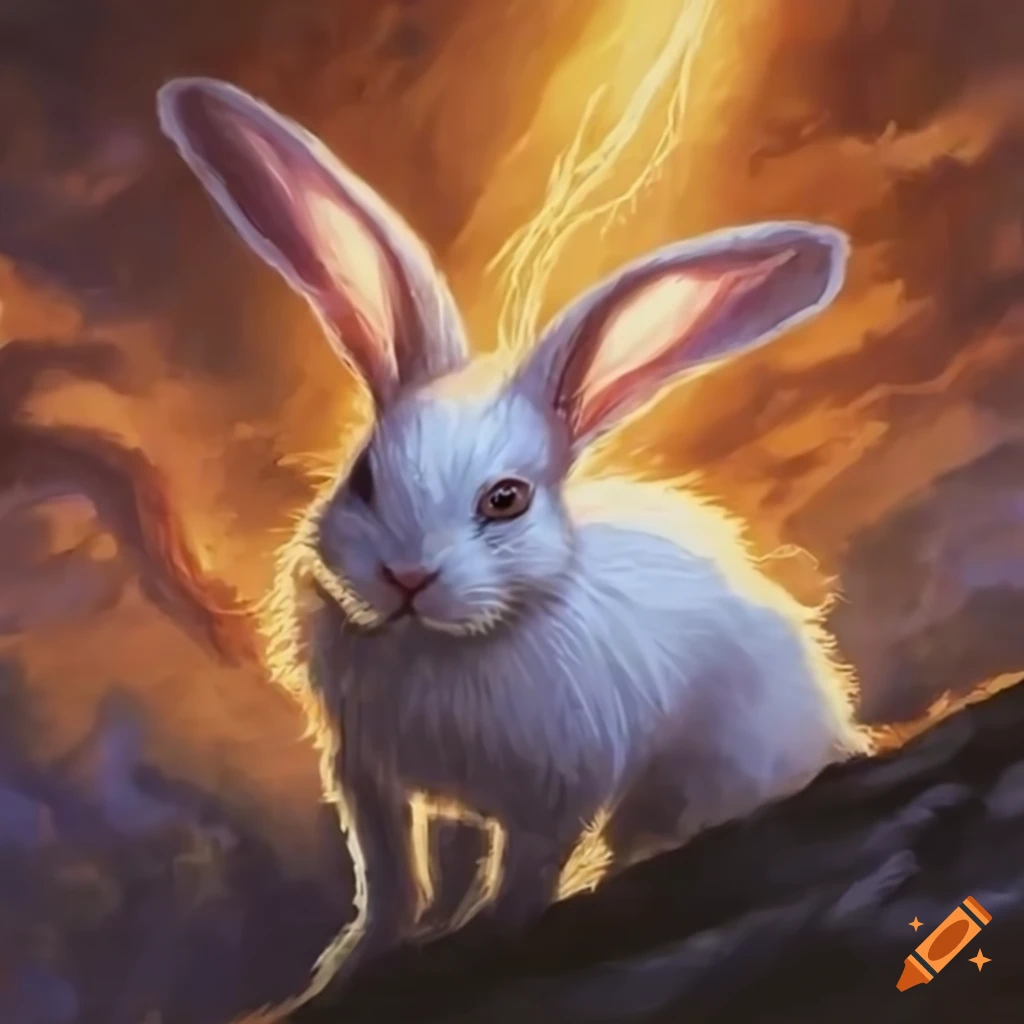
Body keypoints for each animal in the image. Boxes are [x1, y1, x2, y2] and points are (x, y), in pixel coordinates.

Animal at [157, 76, 874, 999]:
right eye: (364, 479)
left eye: (505, 500)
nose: (406, 576)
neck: (445, 642)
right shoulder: (368, 778)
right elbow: (389, 879)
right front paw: (355, 963)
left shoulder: (557, 788)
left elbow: (524, 874)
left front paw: (486, 936)